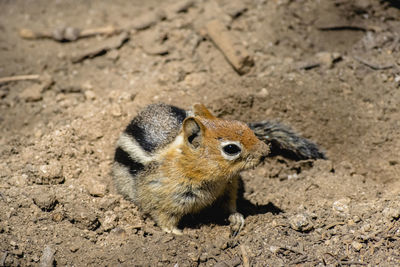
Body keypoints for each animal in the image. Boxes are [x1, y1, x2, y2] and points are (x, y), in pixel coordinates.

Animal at [111, 103, 324, 236]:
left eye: (244, 125)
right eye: (231, 148)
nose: (266, 151)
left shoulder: (229, 186)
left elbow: (229, 205)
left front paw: (236, 218)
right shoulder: (162, 197)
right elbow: (163, 218)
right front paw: (178, 234)